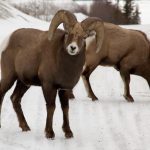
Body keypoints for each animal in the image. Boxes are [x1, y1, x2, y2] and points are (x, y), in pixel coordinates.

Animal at [0, 9, 104, 139]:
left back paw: (25, 127)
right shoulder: (49, 86)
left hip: (24, 83)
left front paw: (68, 132)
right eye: (68, 33)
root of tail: (8, 39)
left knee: (15, 99)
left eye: (83, 37)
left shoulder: (64, 89)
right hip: (9, 77)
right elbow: (51, 107)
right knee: (2, 94)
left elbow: (65, 108)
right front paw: (49, 133)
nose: (72, 48)